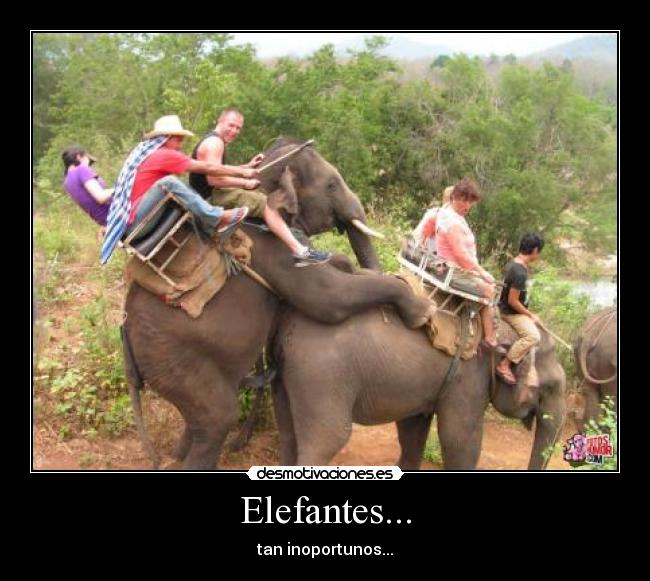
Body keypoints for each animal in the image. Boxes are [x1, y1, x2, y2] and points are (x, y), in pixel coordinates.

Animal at [123, 138, 435, 469]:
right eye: (331, 184)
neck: (263, 179)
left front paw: (343, 263)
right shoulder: (273, 248)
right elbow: (328, 298)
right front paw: (423, 312)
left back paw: (179, 456)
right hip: (173, 359)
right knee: (217, 419)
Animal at [271, 302, 567, 470]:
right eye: (550, 387)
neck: (499, 327)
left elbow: (413, 431)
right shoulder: (468, 381)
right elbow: (460, 440)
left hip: (291, 377)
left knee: (288, 434)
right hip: (323, 377)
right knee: (328, 440)